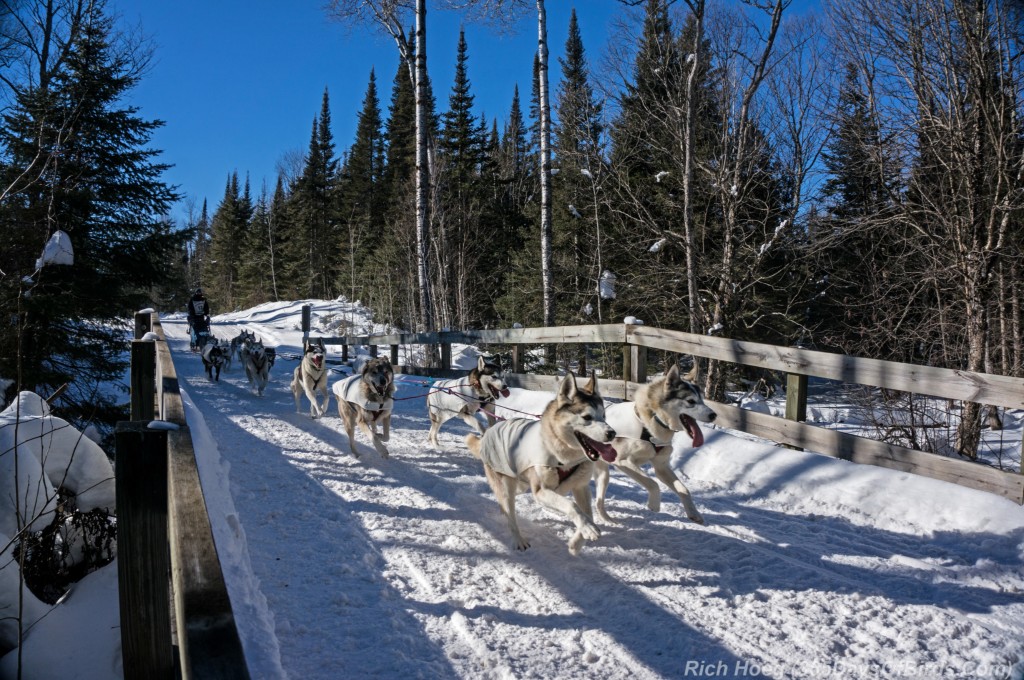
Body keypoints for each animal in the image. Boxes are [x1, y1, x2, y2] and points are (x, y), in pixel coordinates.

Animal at [466, 372, 614, 557]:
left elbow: (588, 514)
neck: (564, 457)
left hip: (520, 485)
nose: (612, 433)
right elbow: (571, 505)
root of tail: (488, 433)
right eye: (587, 417)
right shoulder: (541, 491)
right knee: (510, 515)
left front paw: (576, 543)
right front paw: (587, 528)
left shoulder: (580, 487)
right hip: (507, 486)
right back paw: (519, 540)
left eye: (604, 416)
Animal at [598, 364, 716, 522]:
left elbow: (684, 490)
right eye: (691, 401)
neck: (653, 420)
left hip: (602, 473)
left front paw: (693, 512)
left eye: (702, 400)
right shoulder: (622, 461)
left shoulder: (662, 467)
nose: (714, 415)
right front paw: (654, 505)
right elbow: (653, 484)